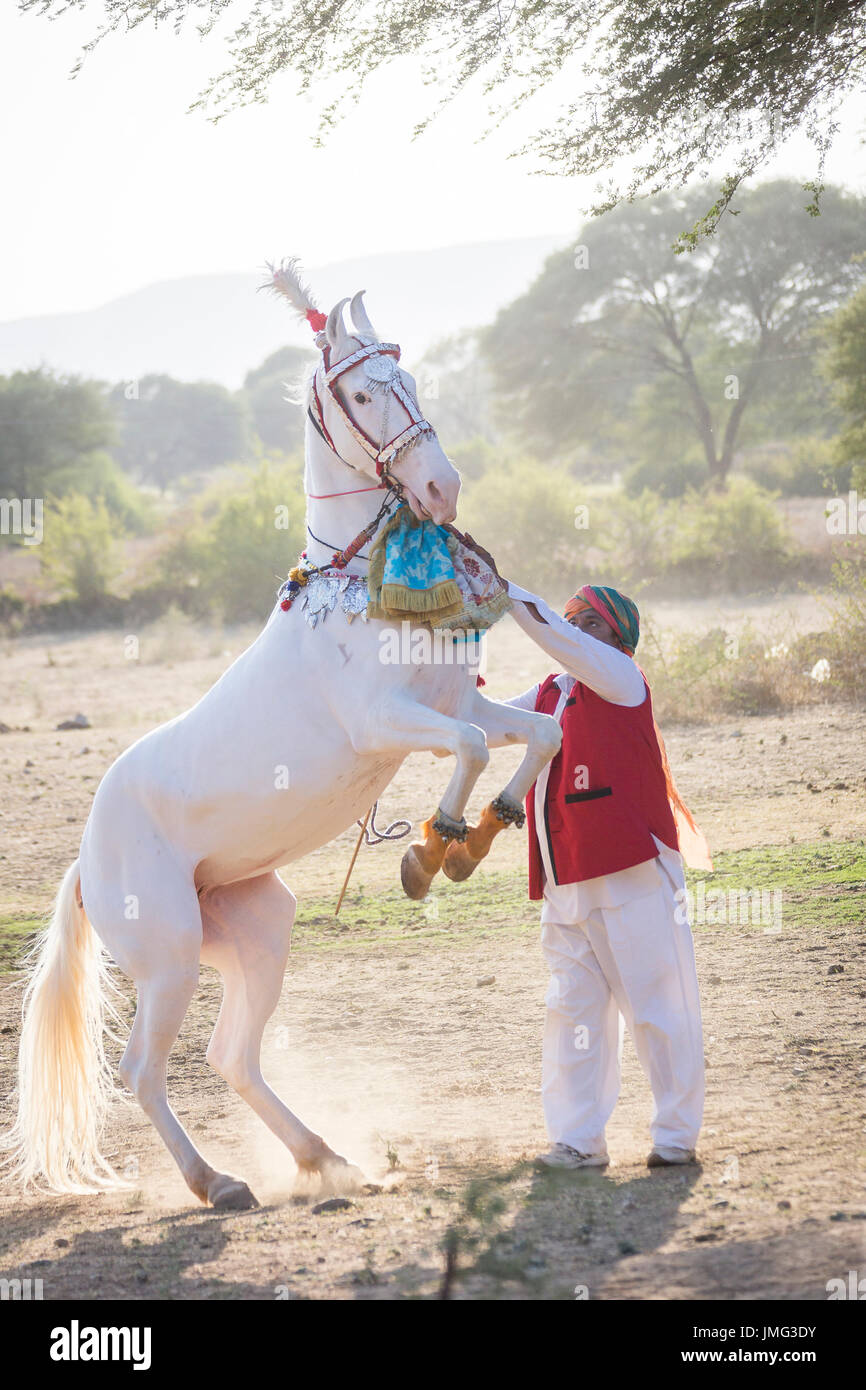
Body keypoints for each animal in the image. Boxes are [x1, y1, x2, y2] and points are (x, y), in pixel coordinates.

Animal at [4, 264, 562, 1210]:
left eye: (413, 379)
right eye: (366, 392)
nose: (442, 490)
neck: (354, 586)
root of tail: (85, 863)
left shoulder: (462, 704)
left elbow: (539, 733)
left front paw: (480, 834)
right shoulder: (387, 724)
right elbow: (471, 750)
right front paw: (432, 850)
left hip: (256, 930)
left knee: (232, 1055)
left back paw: (322, 1157)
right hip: (168, 962)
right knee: (145, 1071)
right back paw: (217, 1182)